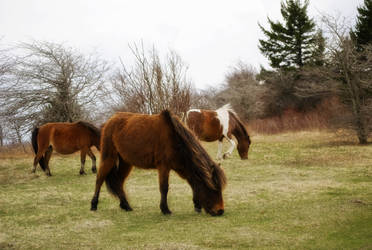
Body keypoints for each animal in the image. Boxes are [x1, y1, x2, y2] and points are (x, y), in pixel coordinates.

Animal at [91, 110, 227, 216]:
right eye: (214, 189)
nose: (220, 211)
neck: (174, 138)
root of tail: (109, 121)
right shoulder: (164, 167)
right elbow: (164, 188)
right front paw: (165, 209)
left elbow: (193, 184)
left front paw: (197, 206)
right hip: (109, 157)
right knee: (99, 178)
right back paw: (94, 205)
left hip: (126, 162)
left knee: (118, 182)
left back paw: (126, 206)